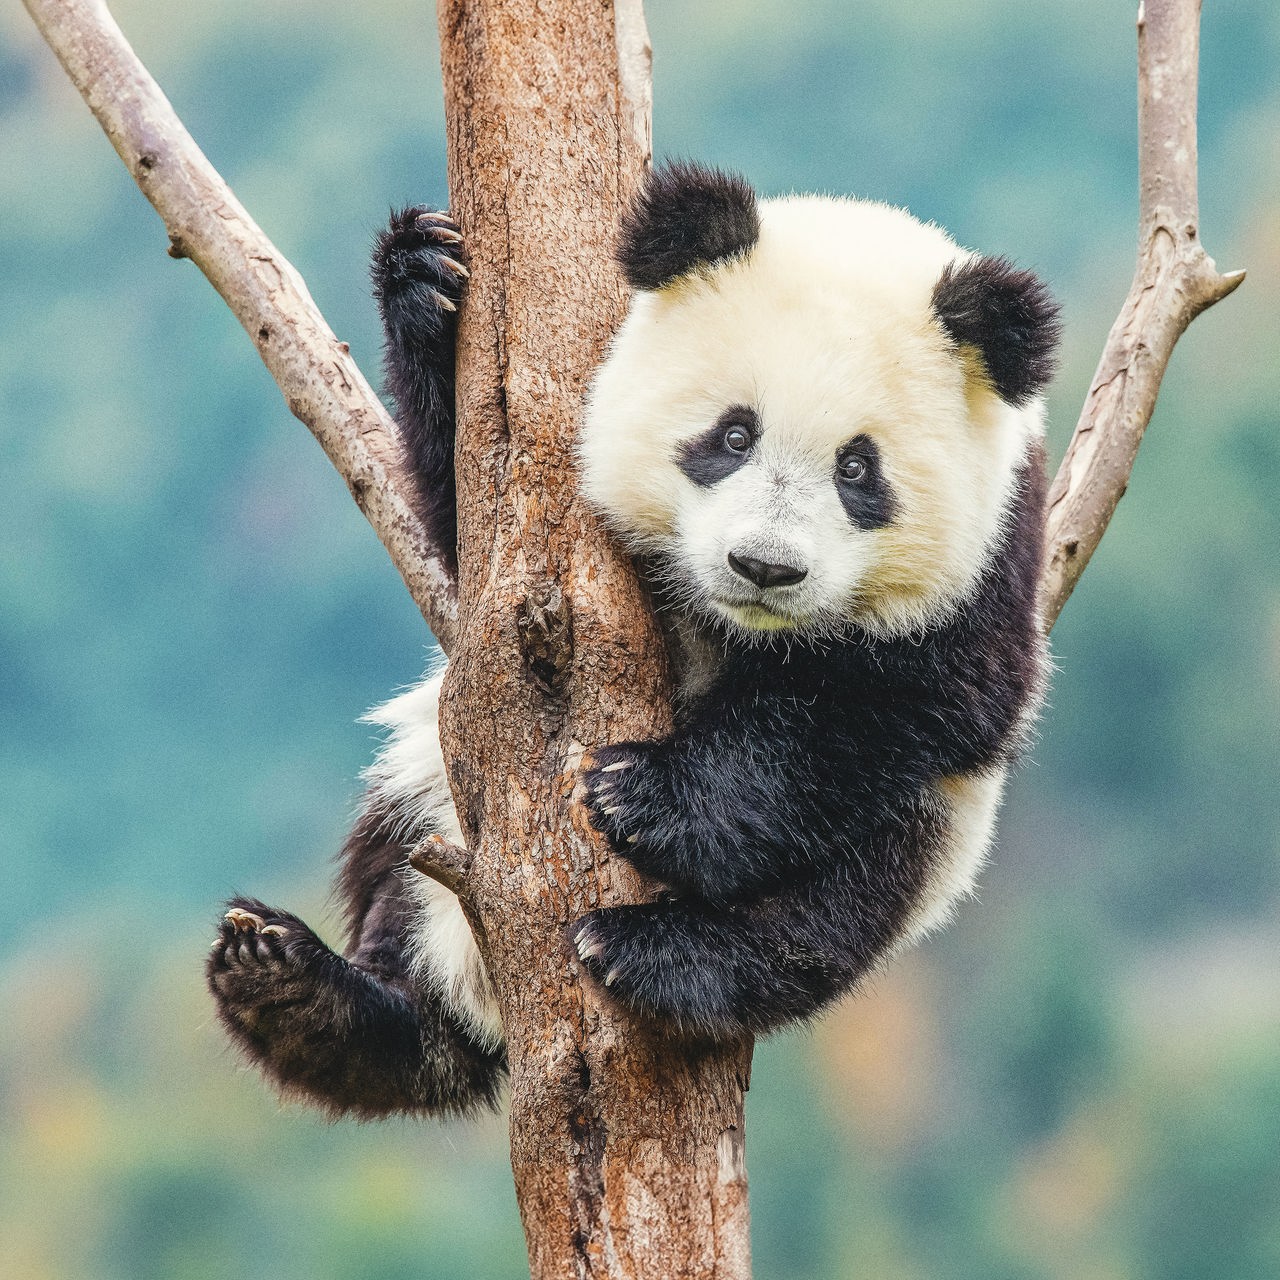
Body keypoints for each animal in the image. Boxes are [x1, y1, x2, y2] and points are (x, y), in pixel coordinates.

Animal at [202, 162, 1059, 1121]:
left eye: (857, 469)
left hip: (937, 833)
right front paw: (426, 280)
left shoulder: (995, 558)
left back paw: (663, 955)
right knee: (403, 885)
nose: (764, 566)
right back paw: (308, 999)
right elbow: (467, 524)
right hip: (432, 793)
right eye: (733, 435)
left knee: (835, 905)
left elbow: (912, 699)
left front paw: (647, 795)